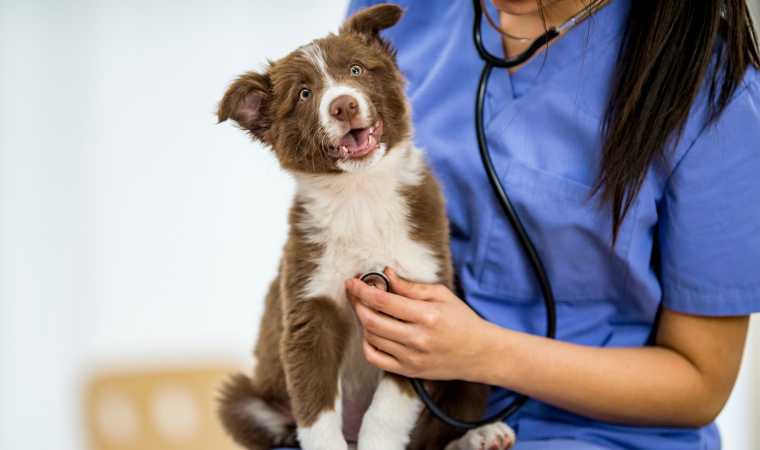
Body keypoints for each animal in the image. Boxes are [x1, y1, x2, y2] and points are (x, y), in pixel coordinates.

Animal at [218, 4, 516, 450]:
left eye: (356, 70)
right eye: (304, 94)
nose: (343, 105)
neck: (360, 196)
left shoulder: (416, 305)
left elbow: (388, 410)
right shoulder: (311, 308)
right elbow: (316, 410)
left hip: (468, 369)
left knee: (436, 431)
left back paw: (481, 434)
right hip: (243, 398)